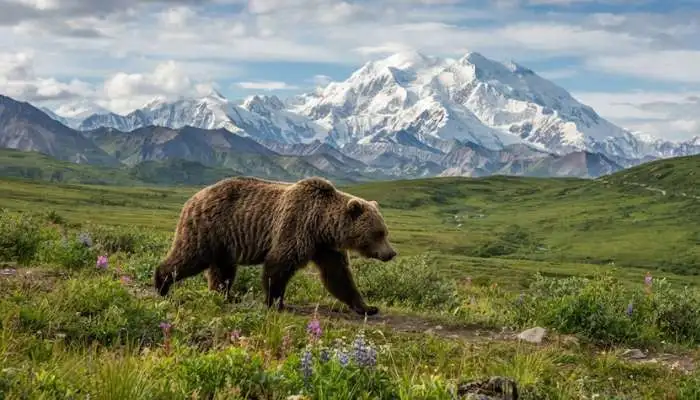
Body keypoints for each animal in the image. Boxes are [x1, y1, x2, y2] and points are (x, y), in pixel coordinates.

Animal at [153, 175, 397, 316]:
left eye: (385, 231)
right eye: (378, 233)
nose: (391, 253)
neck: (323, 225)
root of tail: (193, 197)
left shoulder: (325, 247)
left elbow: (338, 276)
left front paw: (367, 307)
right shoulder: (297, 226)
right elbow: (279, 264)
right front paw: (276, 302)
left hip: (224, 242)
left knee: (223, 269)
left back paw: (225, 295)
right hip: (209, 228)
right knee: (190, 256)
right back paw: (161, 284)